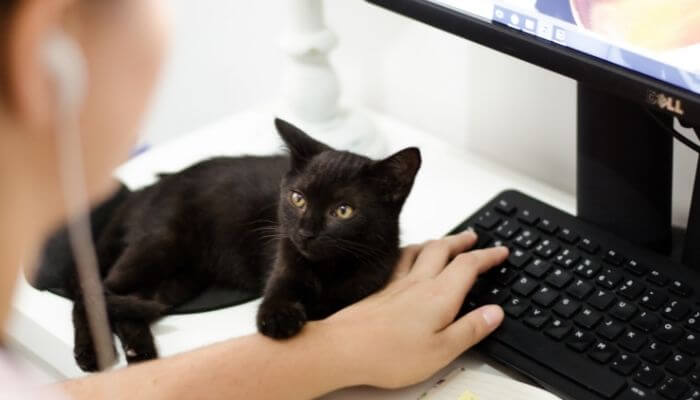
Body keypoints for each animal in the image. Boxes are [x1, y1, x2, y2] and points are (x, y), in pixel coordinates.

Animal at [64, 119, 422, 372]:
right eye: (298, 199)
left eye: (343, 211)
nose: (305, 232)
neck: (329, 269)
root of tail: (146, 189)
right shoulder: (284, 261)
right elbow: (277, 300)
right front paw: (280, 319)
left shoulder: (366, 284)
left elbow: (337, 306)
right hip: (161, 243)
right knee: (93, 289)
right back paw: (91, 352)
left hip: (180, 281)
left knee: (128, 302)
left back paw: (140, 351)